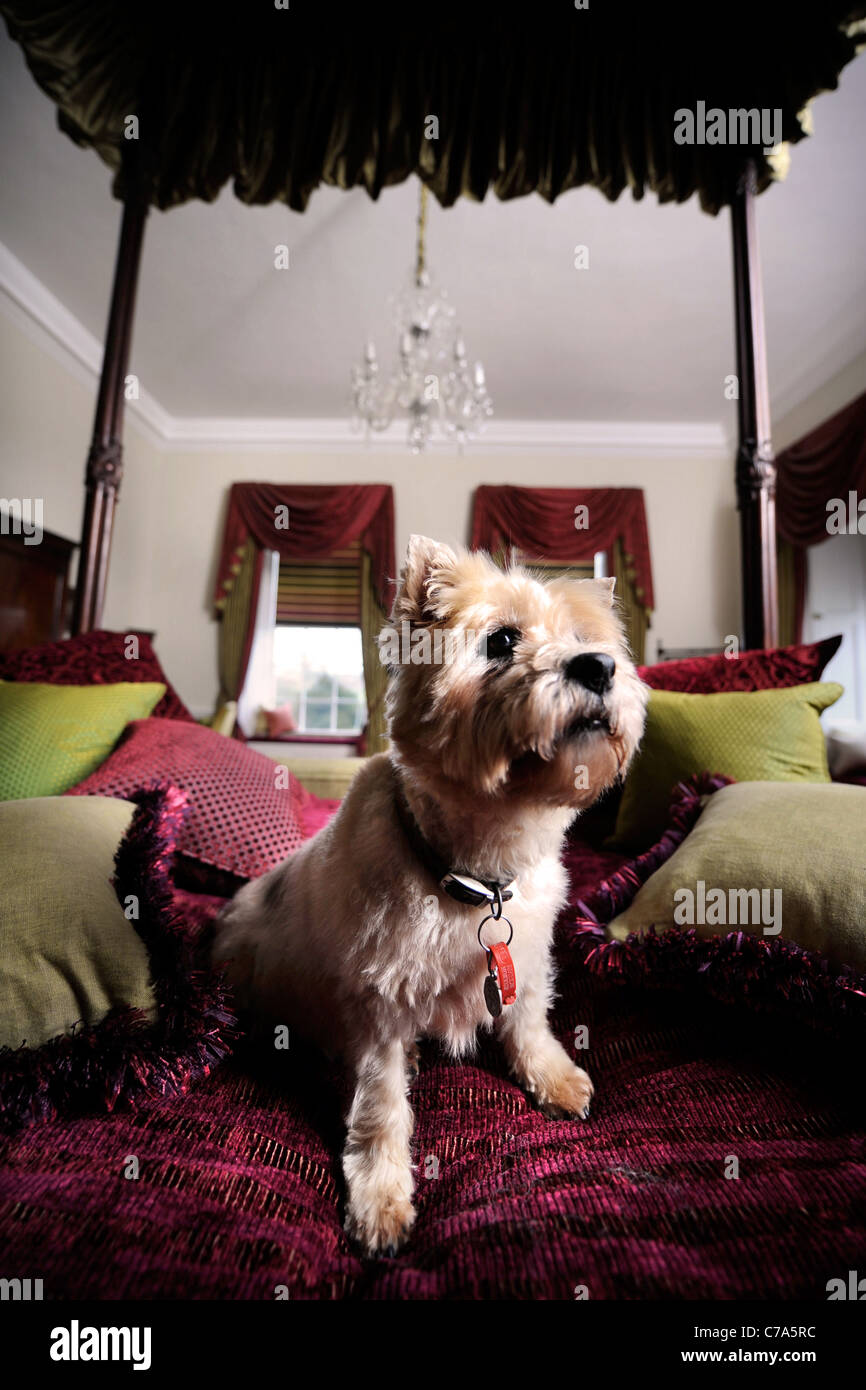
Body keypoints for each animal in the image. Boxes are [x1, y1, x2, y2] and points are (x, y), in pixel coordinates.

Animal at [209, 536, 647, 1256]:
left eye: (587, 639)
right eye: (502, 640)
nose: (599, 667)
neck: (477, 869)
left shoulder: (527, 959)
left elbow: (529, 1023)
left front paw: (553, 1077)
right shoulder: (379, 1009)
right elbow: (382, 1108)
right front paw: (381, 1202)